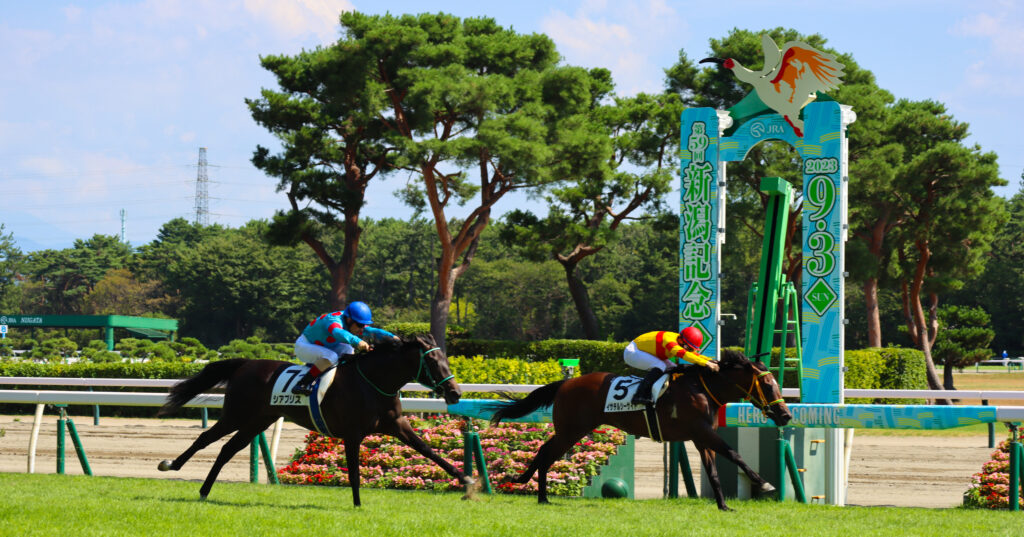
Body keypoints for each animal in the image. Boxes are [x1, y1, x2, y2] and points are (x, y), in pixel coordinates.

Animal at [156, 334, 475, 506]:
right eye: (432, 361)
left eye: (446, 358)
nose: (455, 392)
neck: (372, 382)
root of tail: (245, 363)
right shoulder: (352, 433)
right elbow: (354, 471)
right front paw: (357, 504)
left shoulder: (397, 425)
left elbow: (428, 450)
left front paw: (468, 481)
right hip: (237, 414)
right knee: (205, 439)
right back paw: (170, 465)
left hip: (259, 420)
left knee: (226, 450)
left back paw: (204, 491)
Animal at [486, 349, 792, 511]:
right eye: (768, 386)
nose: (786, 415)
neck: (702, 388)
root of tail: (565, 383)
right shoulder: (702, 432)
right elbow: (734, 454)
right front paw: (764, 483)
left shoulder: (700, 438)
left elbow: (714, 472)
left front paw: (723, 505)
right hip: (571, 430)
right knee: (547, 454)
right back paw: (541, 496)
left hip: (572, 430)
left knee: (543, 452)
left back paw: (532, 487)